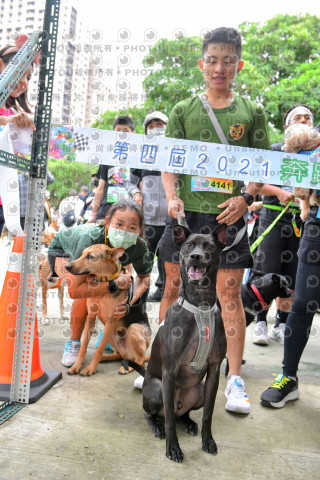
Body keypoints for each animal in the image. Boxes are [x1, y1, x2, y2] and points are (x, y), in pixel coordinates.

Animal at [64, 246, 151, 376]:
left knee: (139, 361)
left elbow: (99, 350)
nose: (67, 266)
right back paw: (105, 358)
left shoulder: (111, 320)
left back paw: (127, 367)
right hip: (109, 334)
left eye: (90, 256)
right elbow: (84, 345)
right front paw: (77, 365)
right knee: (119, 356)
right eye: (82, 254)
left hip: (133, 329)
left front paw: (91, 368)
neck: (103, 281)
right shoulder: (91, 318)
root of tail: (128, 355)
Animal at [127, 223, 228, 464]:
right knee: (155, 413)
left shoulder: (214, 369)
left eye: (209, 246)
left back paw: (189, 422)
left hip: (198, 389)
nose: (195, 256)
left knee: (182, 413)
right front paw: (173, 448)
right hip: (157, 388)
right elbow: (170, 420)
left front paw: (207, 440)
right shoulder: (169, 371)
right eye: (189, 245)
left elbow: (208, 414)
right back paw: (156, 425)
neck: (200, 306)